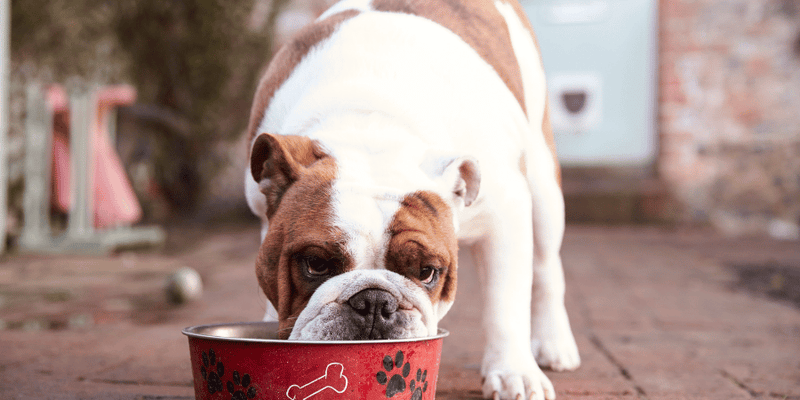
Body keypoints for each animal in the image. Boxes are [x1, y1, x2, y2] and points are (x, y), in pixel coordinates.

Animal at [247, 1, 580, 398]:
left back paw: (554, 343)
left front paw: (514, 372)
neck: (372, 130)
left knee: (546, 267)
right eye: (315, 263)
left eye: (427, 272)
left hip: (544, 187)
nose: (375, 301)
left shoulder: (506, 215)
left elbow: (506, 303)